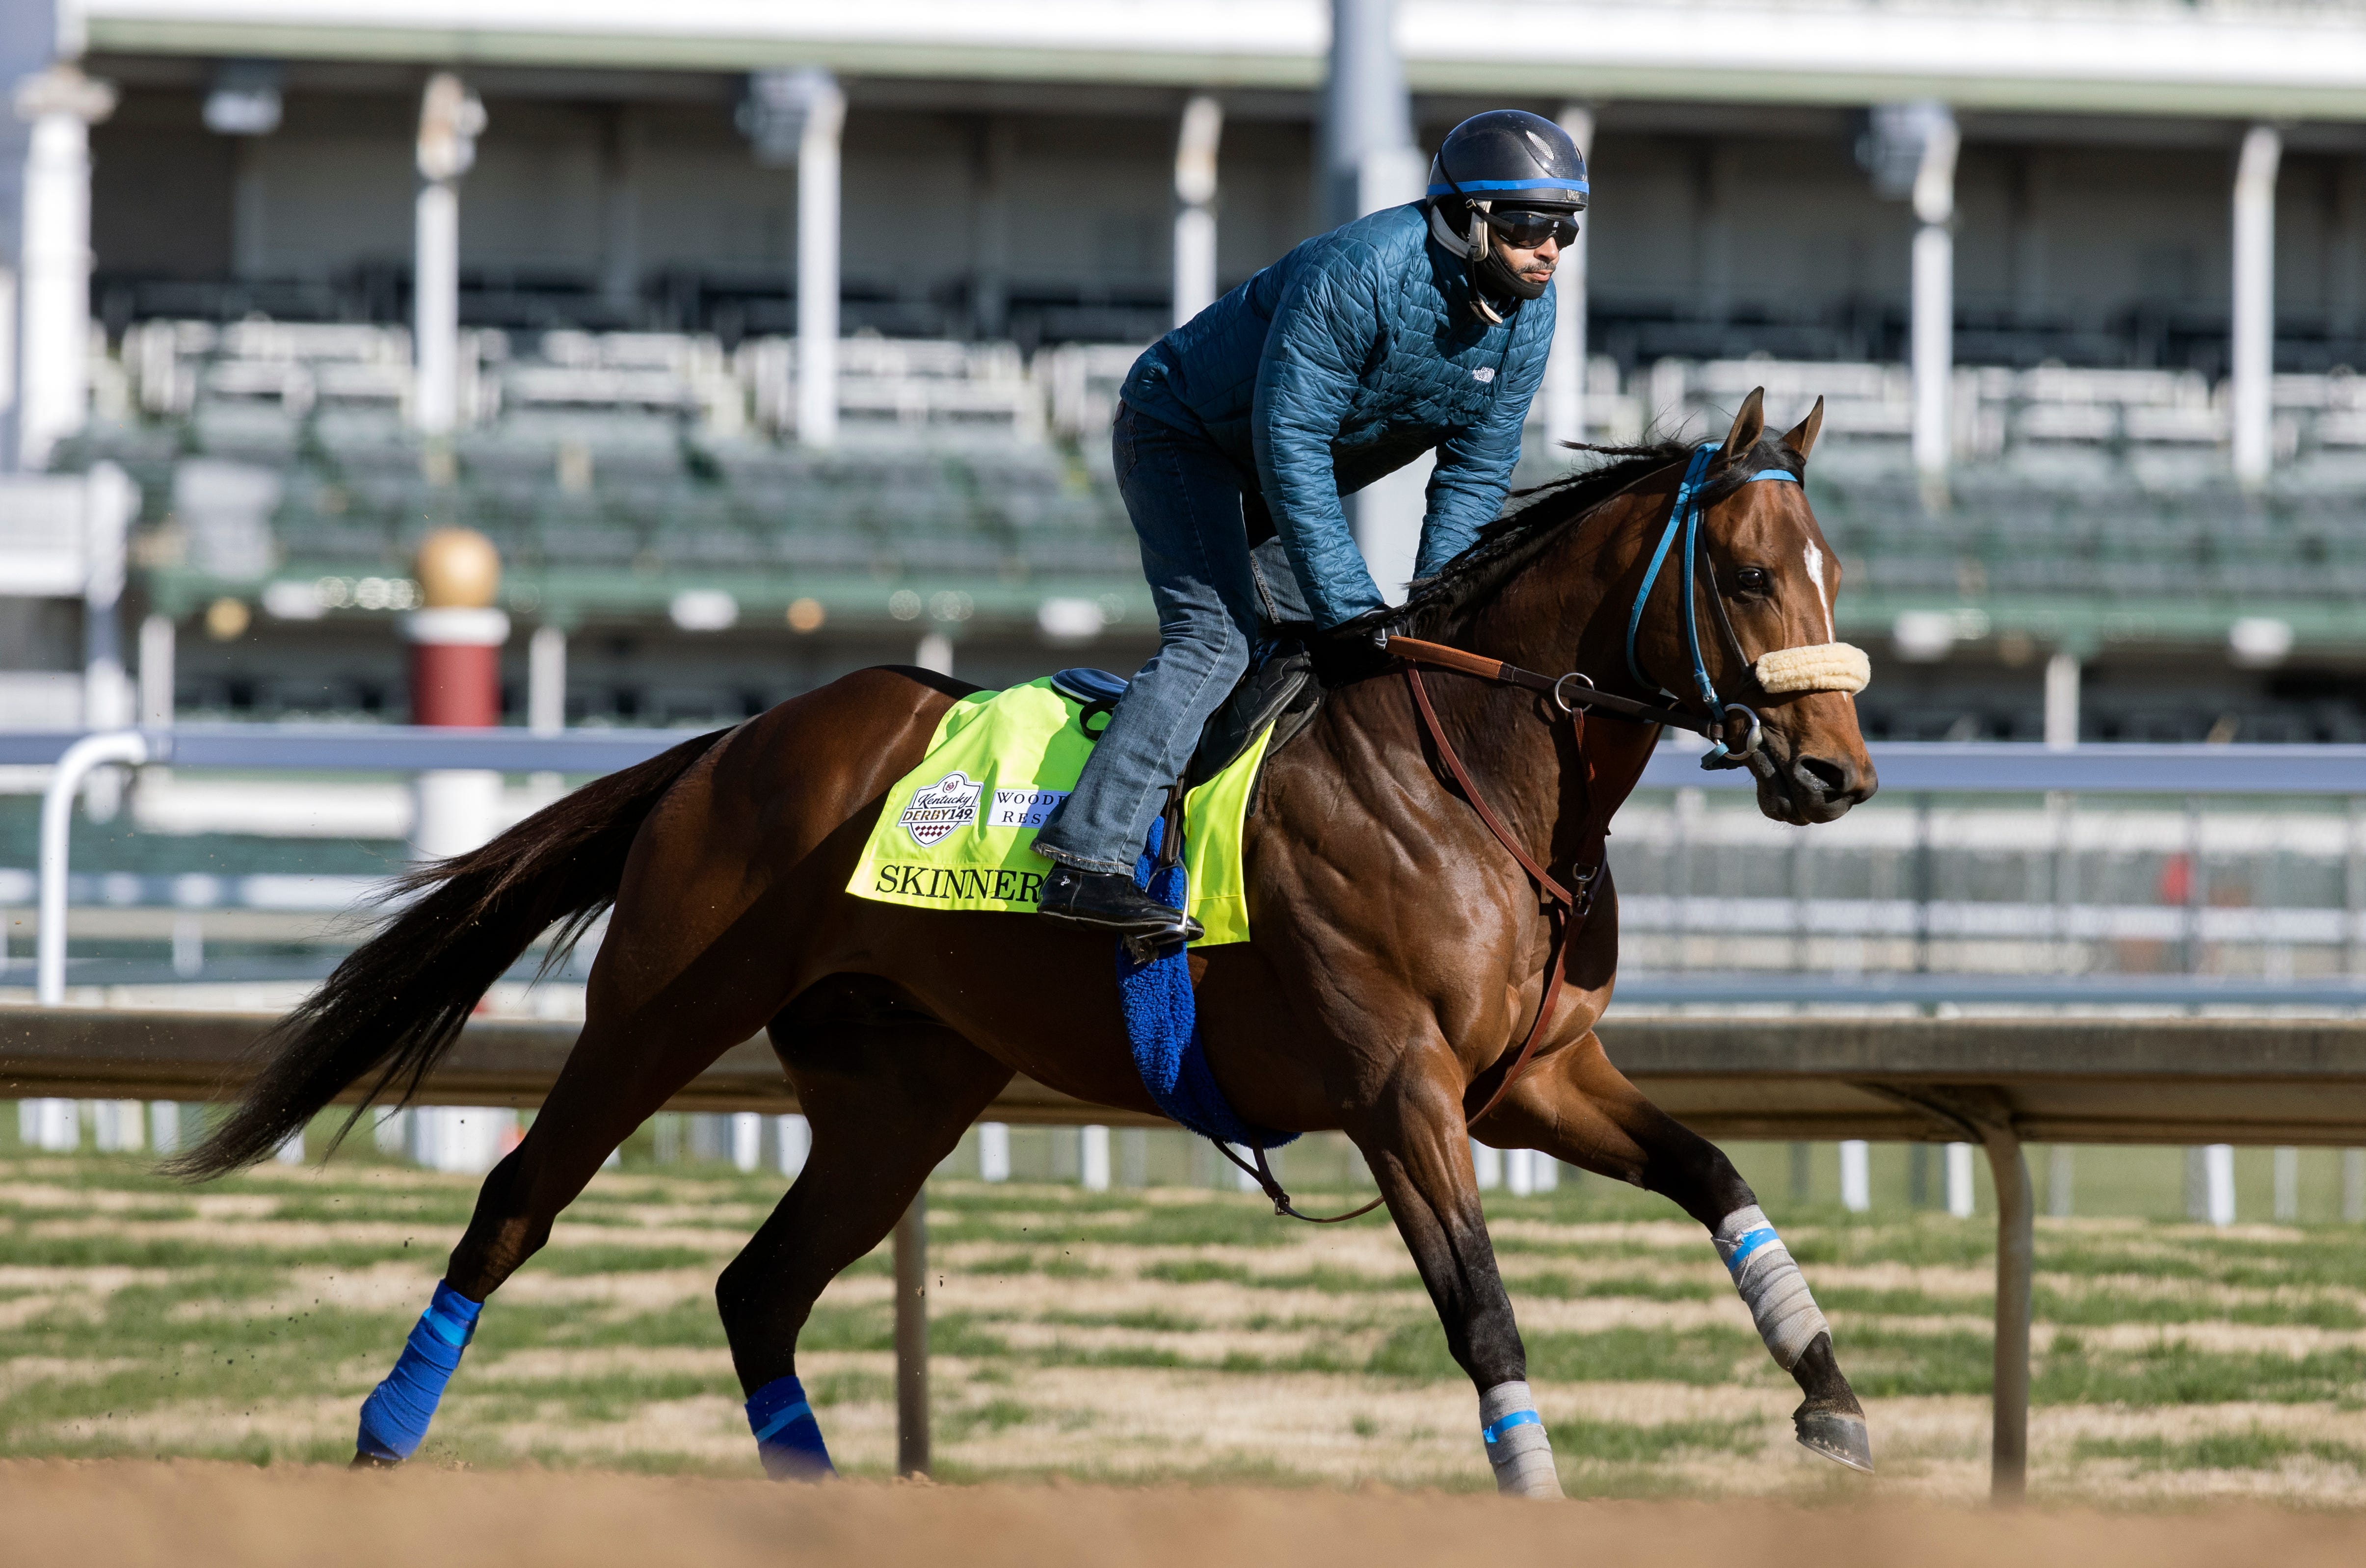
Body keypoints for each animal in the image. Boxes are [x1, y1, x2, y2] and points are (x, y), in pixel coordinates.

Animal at [166, 390, 1874, 1494]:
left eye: (1831, 573)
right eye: (1741, 575)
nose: (1837, 772)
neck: (1469, 774)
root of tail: (735, 738)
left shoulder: (1529, 1080)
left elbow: (1714, 1172)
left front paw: (1832, 1399)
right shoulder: (1399, 1092)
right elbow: (1481, 1307)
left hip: (899, 1095)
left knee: (758, 1290)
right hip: (655, 1013)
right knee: (518, 1201)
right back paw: (387, 1433)